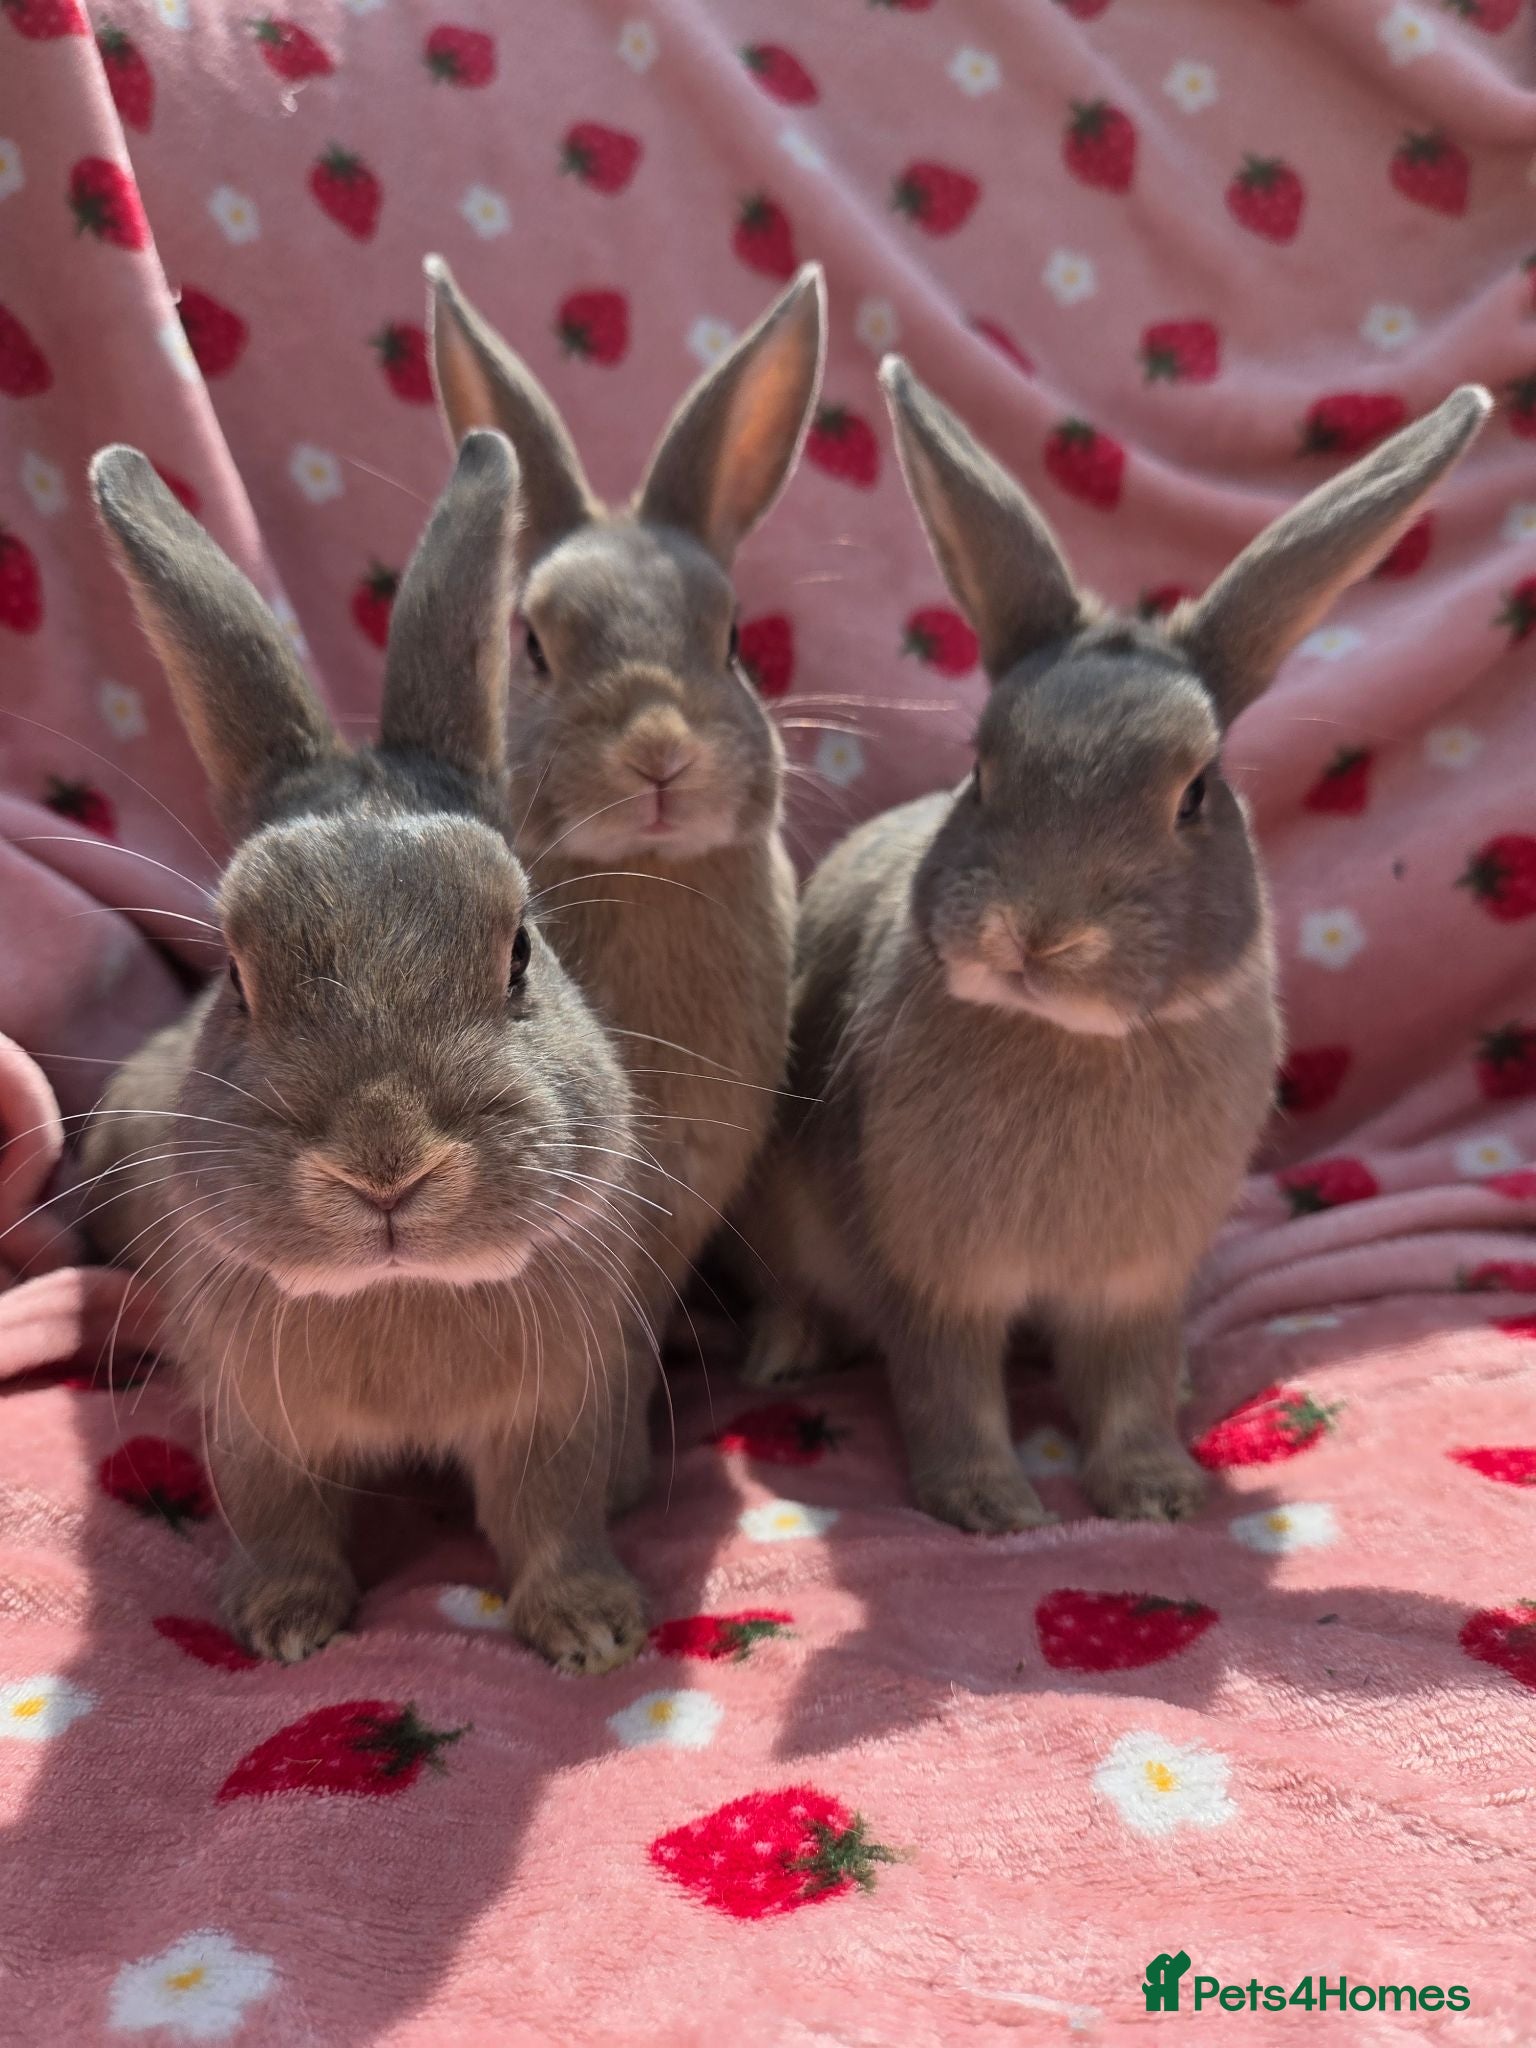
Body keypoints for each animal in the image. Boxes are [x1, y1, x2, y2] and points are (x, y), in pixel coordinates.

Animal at [79, 430, 652, 1671]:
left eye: (521, 948)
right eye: (234, 973)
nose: (386, 1162)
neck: (403, 1291)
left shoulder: (559, 1412)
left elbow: (552, 1513)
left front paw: (592, 1628)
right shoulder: (255, 1428)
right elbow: (279, 1517)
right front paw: (285, 1625)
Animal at [425, 256, 824, 1508]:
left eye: (736, 640)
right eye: (534, 646)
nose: (658, 751)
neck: (650, 871)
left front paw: (623, 1479)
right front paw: (619, 1478)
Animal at [741, 359, 1491, 1534]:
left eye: (1196, 794)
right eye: (980, 770)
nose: (1041, 933)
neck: (1071, 1036)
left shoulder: (1138, 1284)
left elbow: (1127, 1381)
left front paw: (1155, 1491)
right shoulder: (935, 1275)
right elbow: (950, 1388)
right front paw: (992, 1508)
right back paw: (782, 1357)